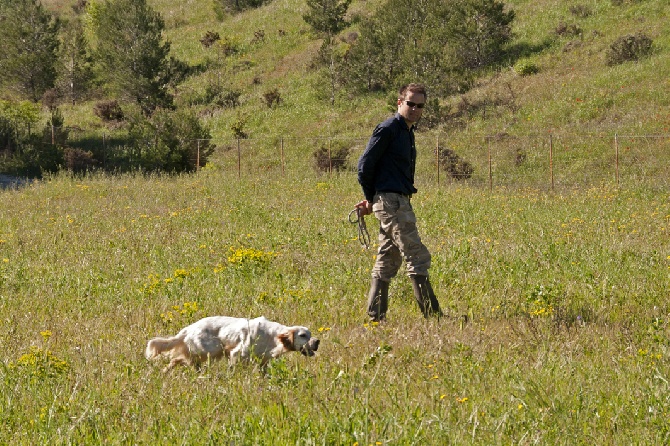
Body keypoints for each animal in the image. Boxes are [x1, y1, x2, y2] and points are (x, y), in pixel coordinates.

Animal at [144, 316, 320, 372]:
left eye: (311, 334)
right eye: (303, 335)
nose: (317, 342)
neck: (272, 337)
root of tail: (188, 329)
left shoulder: (263, 360)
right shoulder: (238, 353)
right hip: (211, 350)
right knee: (180, 359)